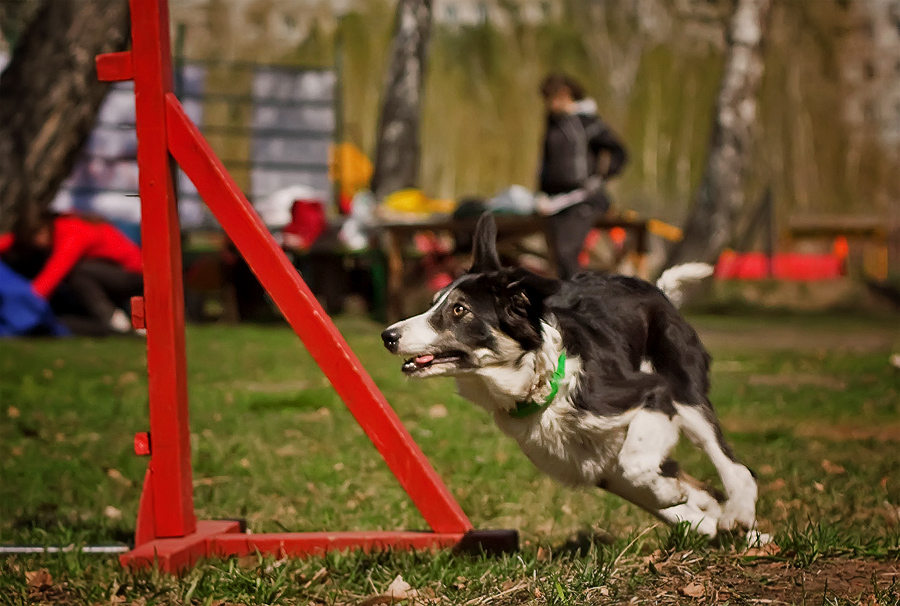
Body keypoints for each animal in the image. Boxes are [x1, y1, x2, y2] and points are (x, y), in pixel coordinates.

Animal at [381, 214, 759, 539]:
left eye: (459, 309)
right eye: (435, 303)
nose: (388, 336)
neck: (544, 387)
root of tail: (659, 291)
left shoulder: (650, 393)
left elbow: (636, 466)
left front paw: (671, 493)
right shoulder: (588, 464)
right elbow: (658, 490)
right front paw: (686, 504)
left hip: (686, 395)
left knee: (734, 467)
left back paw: (739, 516)